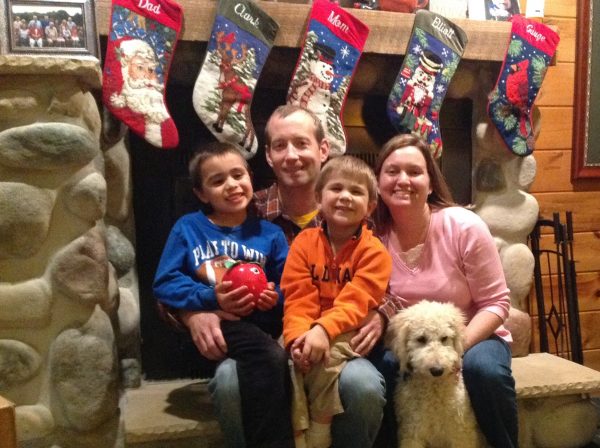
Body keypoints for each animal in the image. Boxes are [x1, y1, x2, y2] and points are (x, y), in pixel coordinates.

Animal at [384, 300, 488, 448]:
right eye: (421, 339)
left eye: (444, 338)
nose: (437, 370)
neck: (434, 389)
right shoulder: (412, 433)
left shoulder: (461, 432)